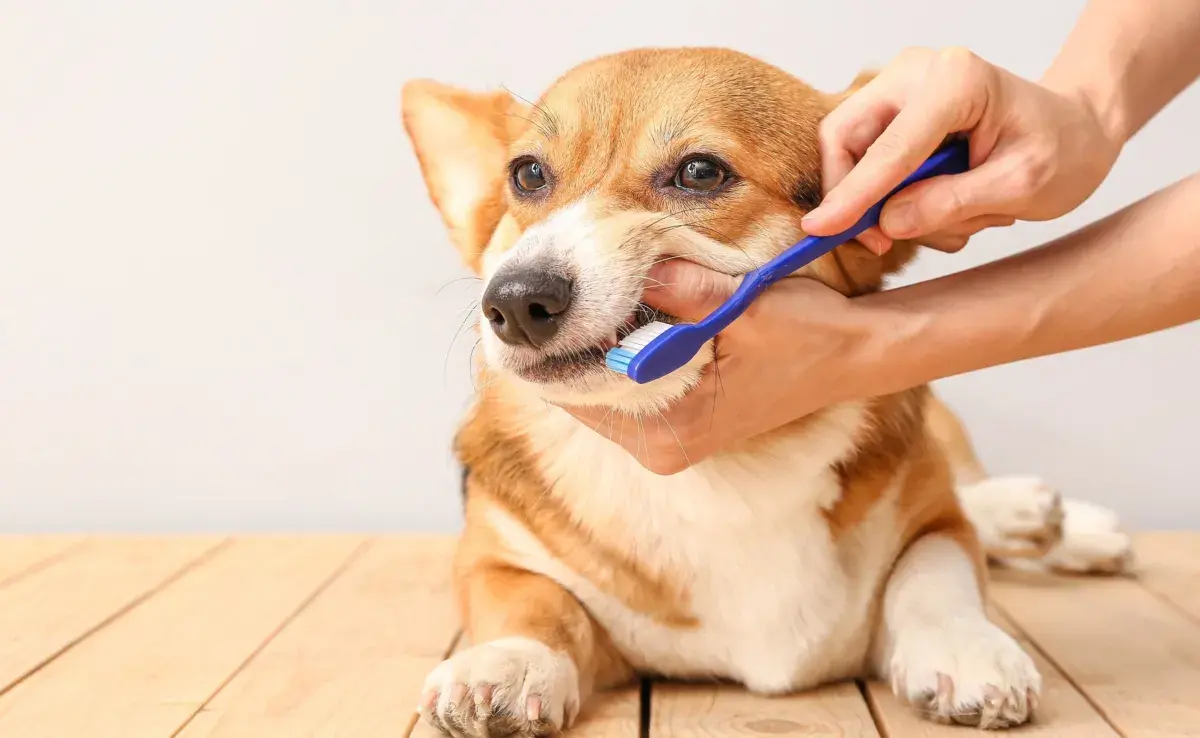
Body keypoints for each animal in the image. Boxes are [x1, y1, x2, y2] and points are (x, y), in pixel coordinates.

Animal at [398, 46, 1128, 734]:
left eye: (700, 172)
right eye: (527, 175)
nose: (515, 302)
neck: (723, 469)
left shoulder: (933, 524)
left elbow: (935, 575)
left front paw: (965, 648)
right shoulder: (494, 557)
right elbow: (532, 605)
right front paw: (506, 665)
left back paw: (1058, 521)